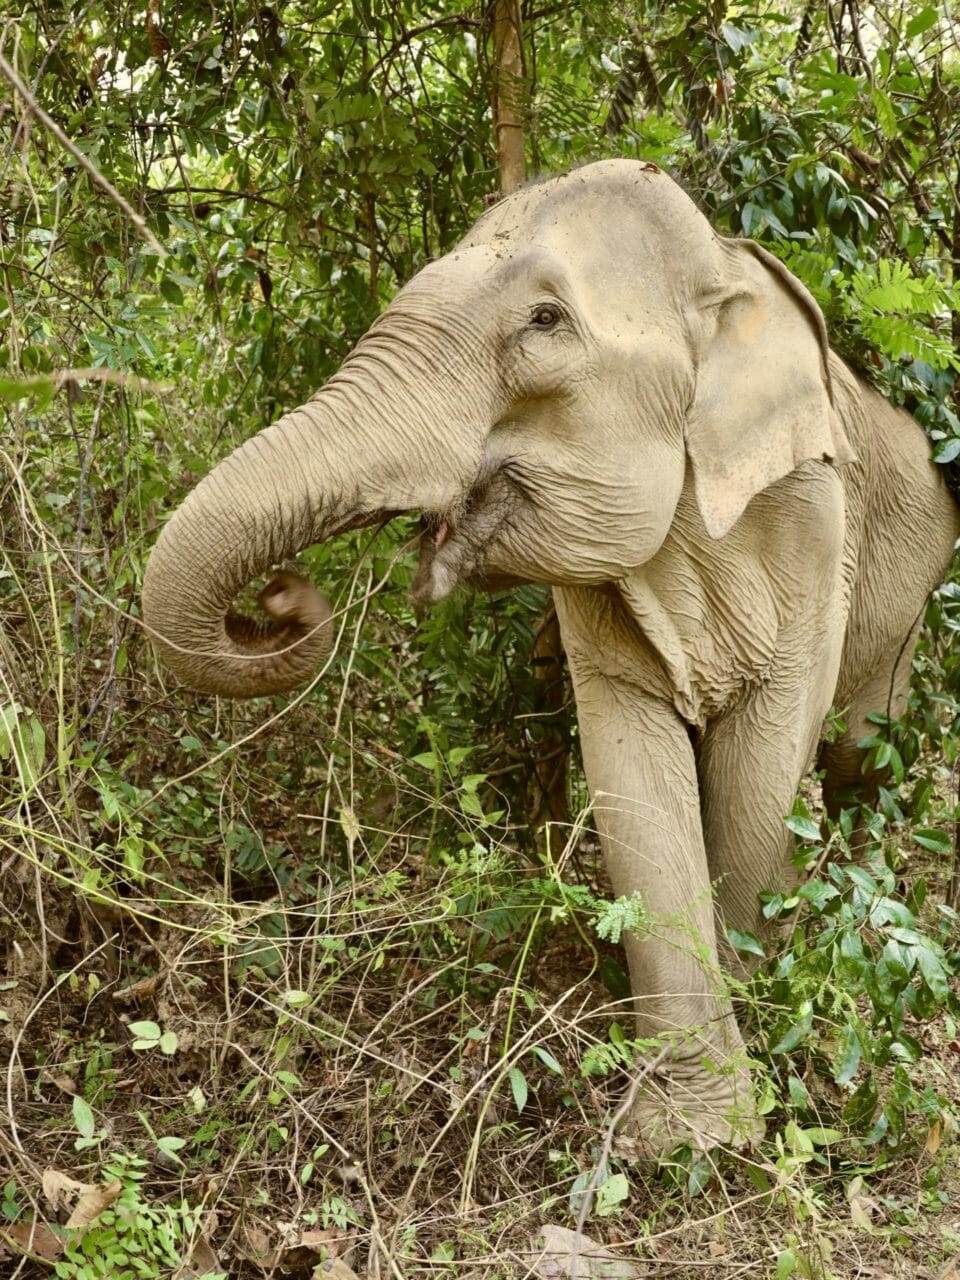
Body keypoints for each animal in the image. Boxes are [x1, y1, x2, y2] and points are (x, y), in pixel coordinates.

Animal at [142, 157, 960, 1152]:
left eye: (543, 322)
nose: (281, 597)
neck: (724, 279)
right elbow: (632, 774)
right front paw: (685, 1137)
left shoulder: (814, 527)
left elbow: (759, 769)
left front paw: (748, 1040)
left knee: (857, 753)